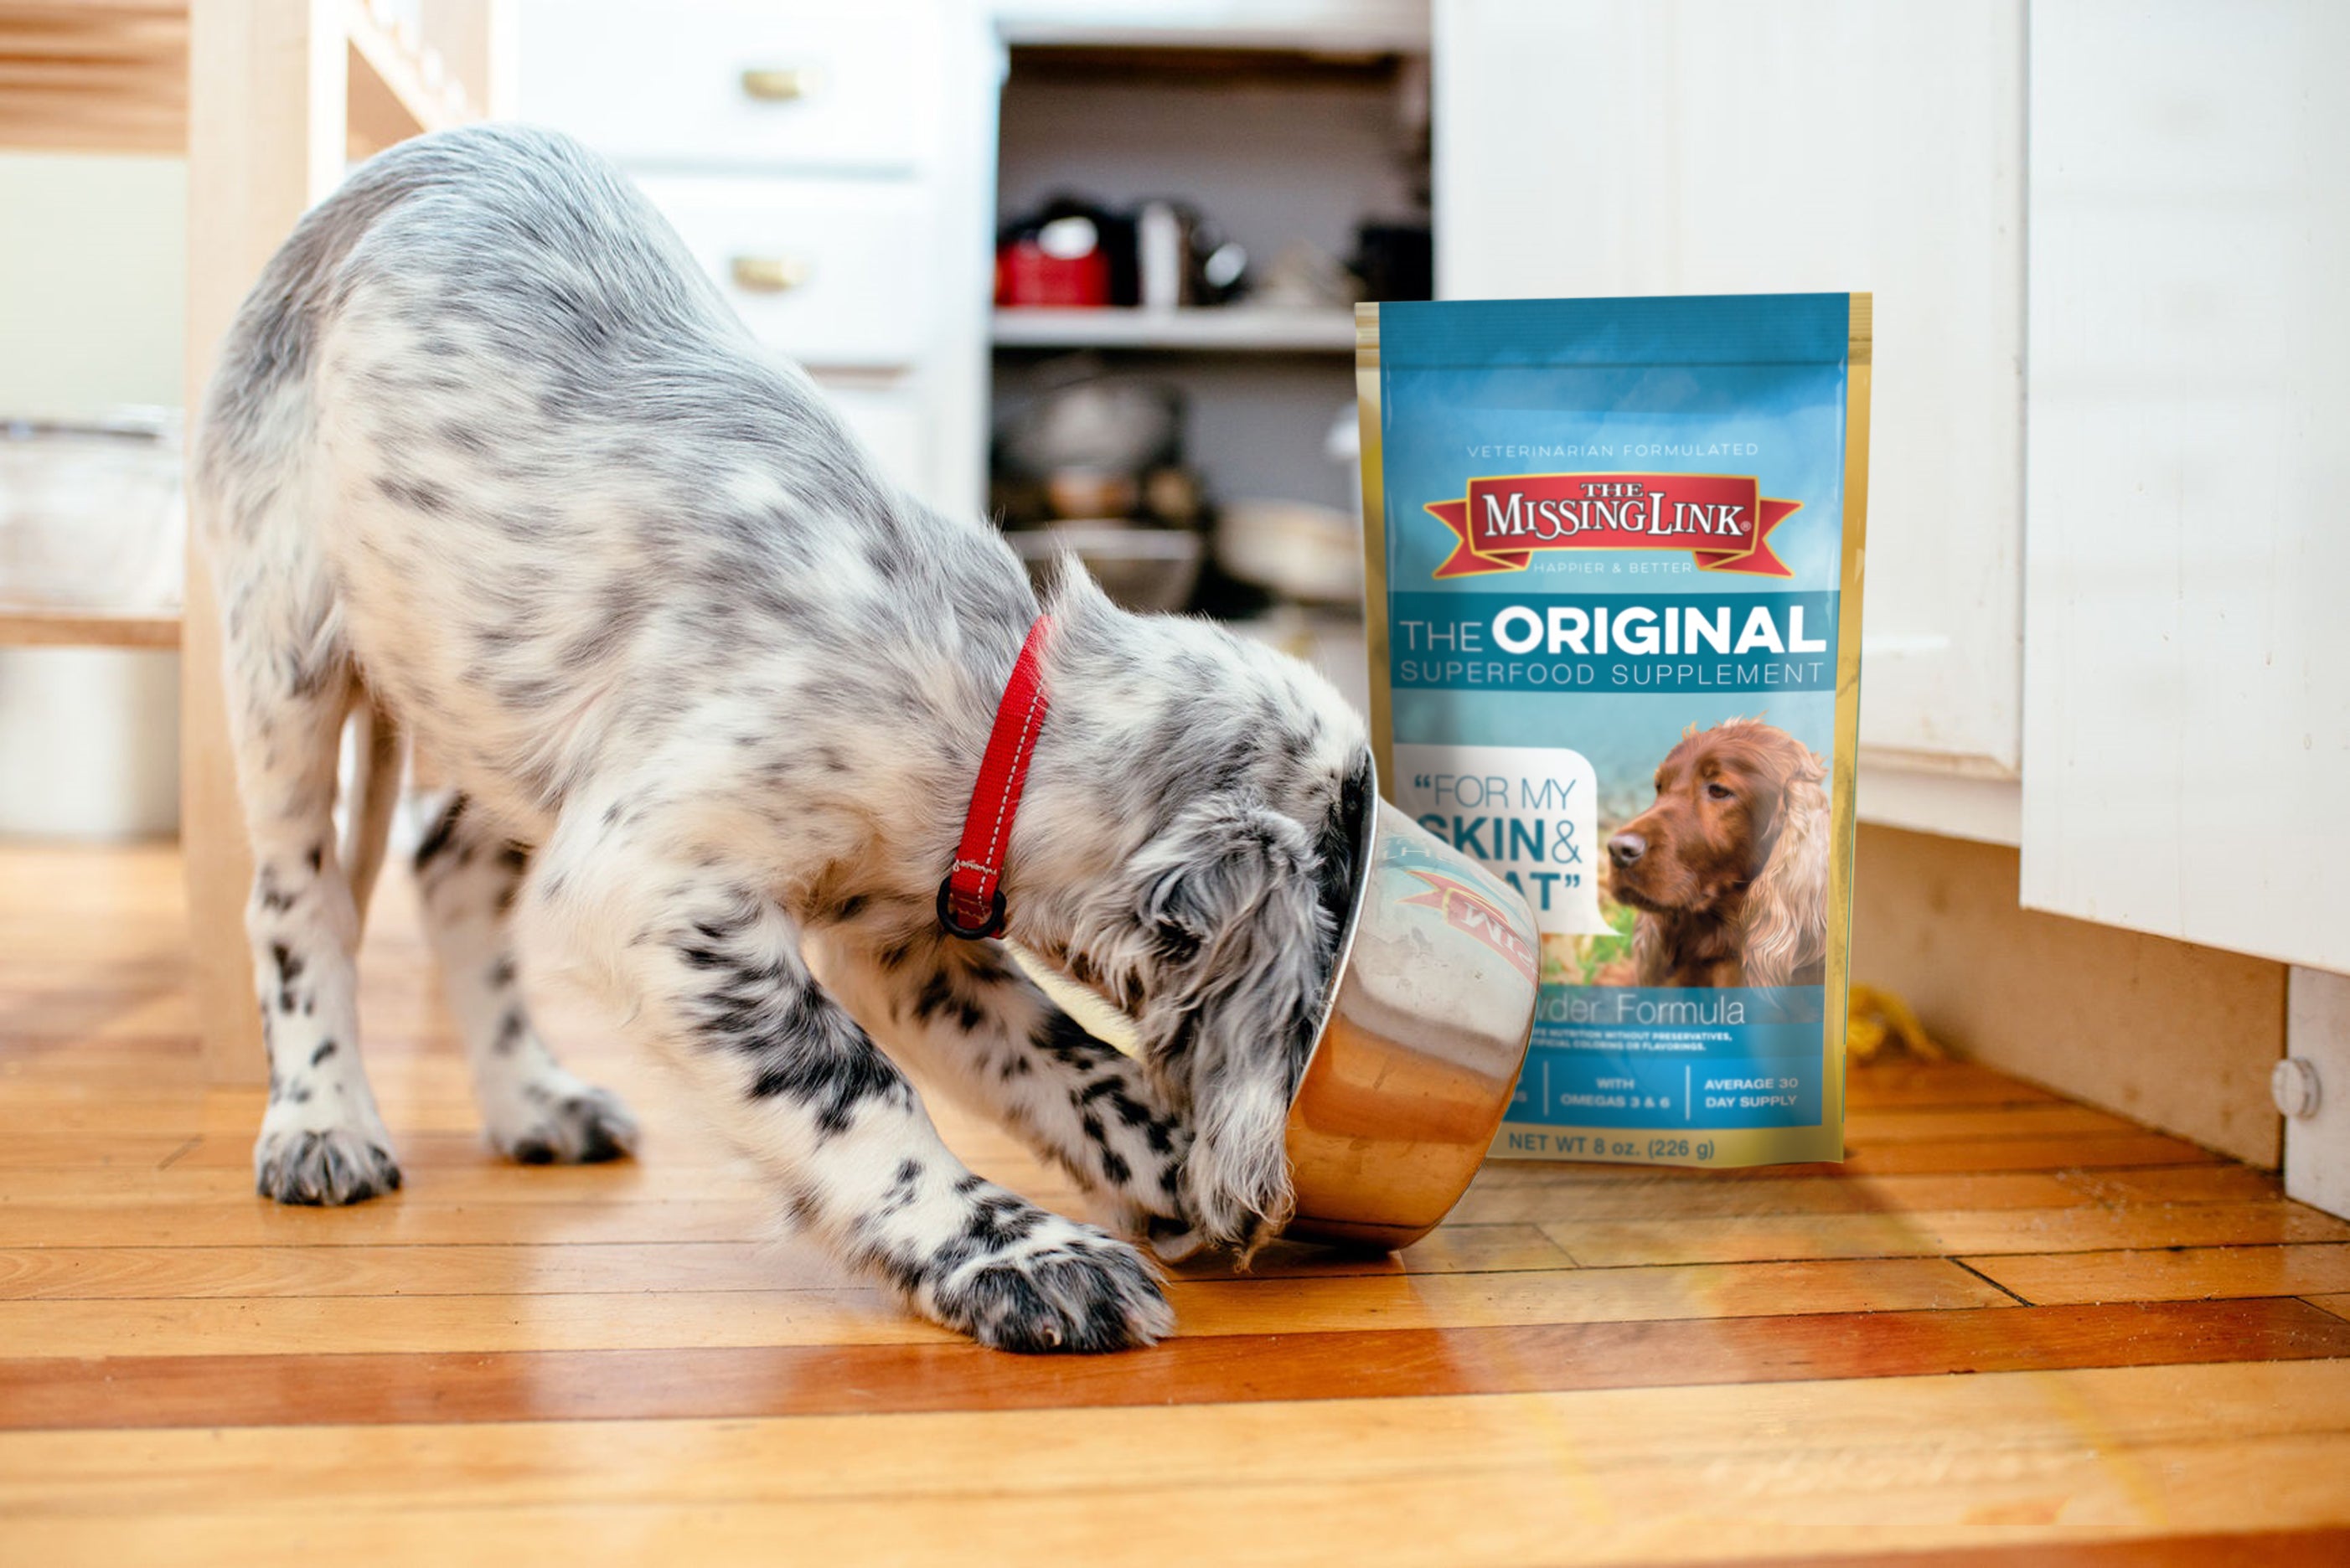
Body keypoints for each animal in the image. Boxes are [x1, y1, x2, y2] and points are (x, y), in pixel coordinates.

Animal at [202, 126, 1372, 1354]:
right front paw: (1017, 1254)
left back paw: (534, 1100)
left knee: (446, 876)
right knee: (297, 902)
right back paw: (321, 1120)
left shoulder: (912, 938)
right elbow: (850, 1086)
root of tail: (402, 162)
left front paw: (1171, 1168)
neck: (991, 708)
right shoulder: (653, 883)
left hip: (498, 707)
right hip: (286, 646)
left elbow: (1067, 1058)